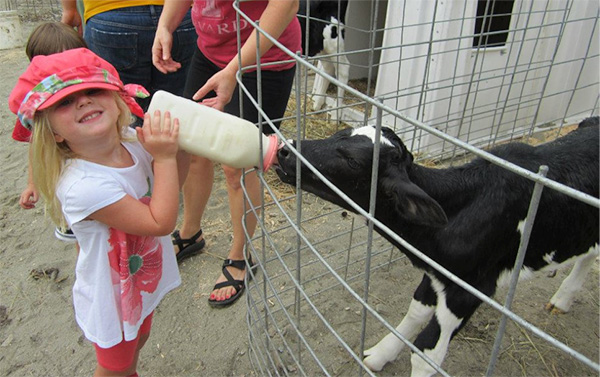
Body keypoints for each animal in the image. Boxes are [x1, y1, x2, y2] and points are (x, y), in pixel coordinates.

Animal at [276, 117, 600, 374]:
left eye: (353, 161)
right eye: (339, 133)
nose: (283, 150)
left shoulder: (470, 289)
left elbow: (426, 354)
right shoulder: (435, 272)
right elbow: (415, 311)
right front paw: (380, 354)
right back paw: (563, 298)